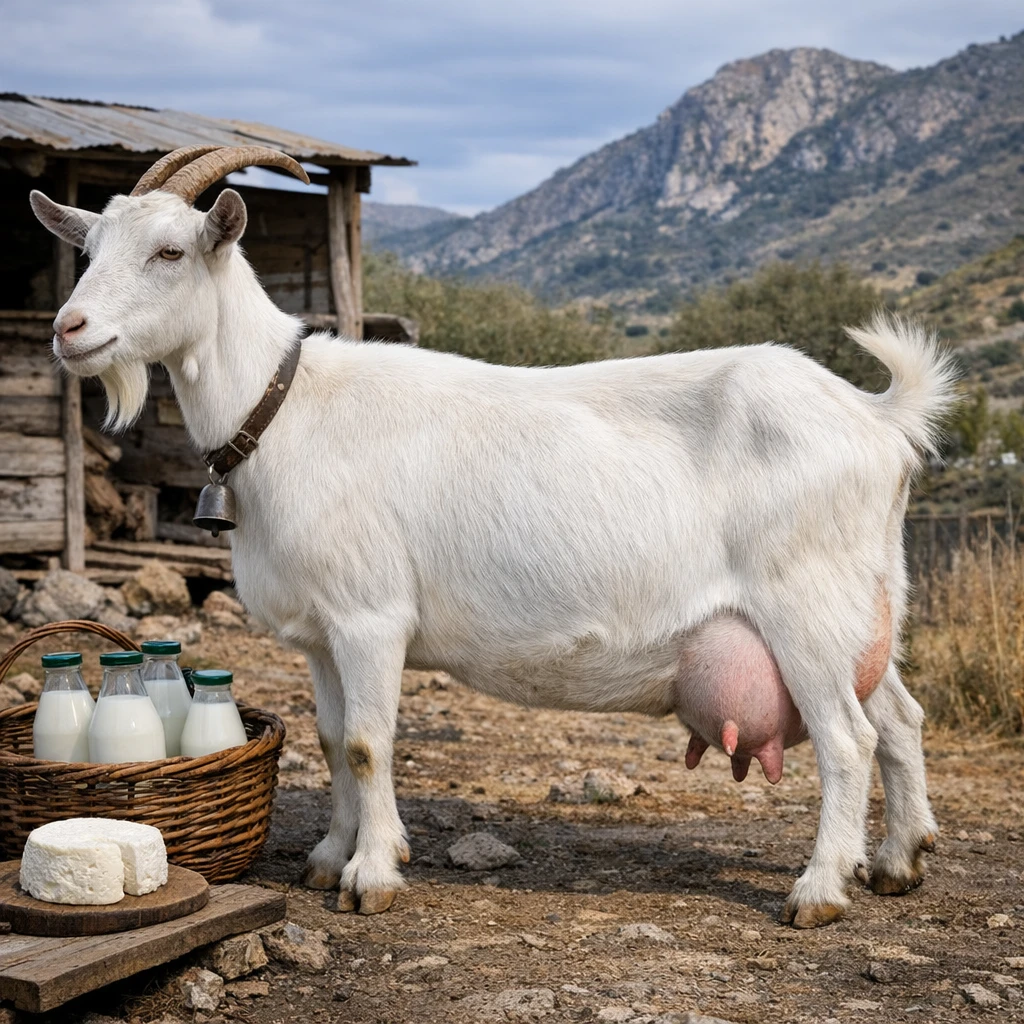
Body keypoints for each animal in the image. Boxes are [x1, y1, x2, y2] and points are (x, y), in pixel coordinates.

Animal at [30, 146, 958, 926]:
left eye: (170, 252)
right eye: (90, 248)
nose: (68, 330)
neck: (286, 407)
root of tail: (877, 418)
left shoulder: (371, 616)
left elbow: (367, 743)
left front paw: (372, 875)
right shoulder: (322, 633)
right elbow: (330, 739)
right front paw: (329, 856)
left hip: (803, 606)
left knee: (848, 739)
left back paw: (820, 890)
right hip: (861, 607)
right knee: (901, 718)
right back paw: (898, 861)